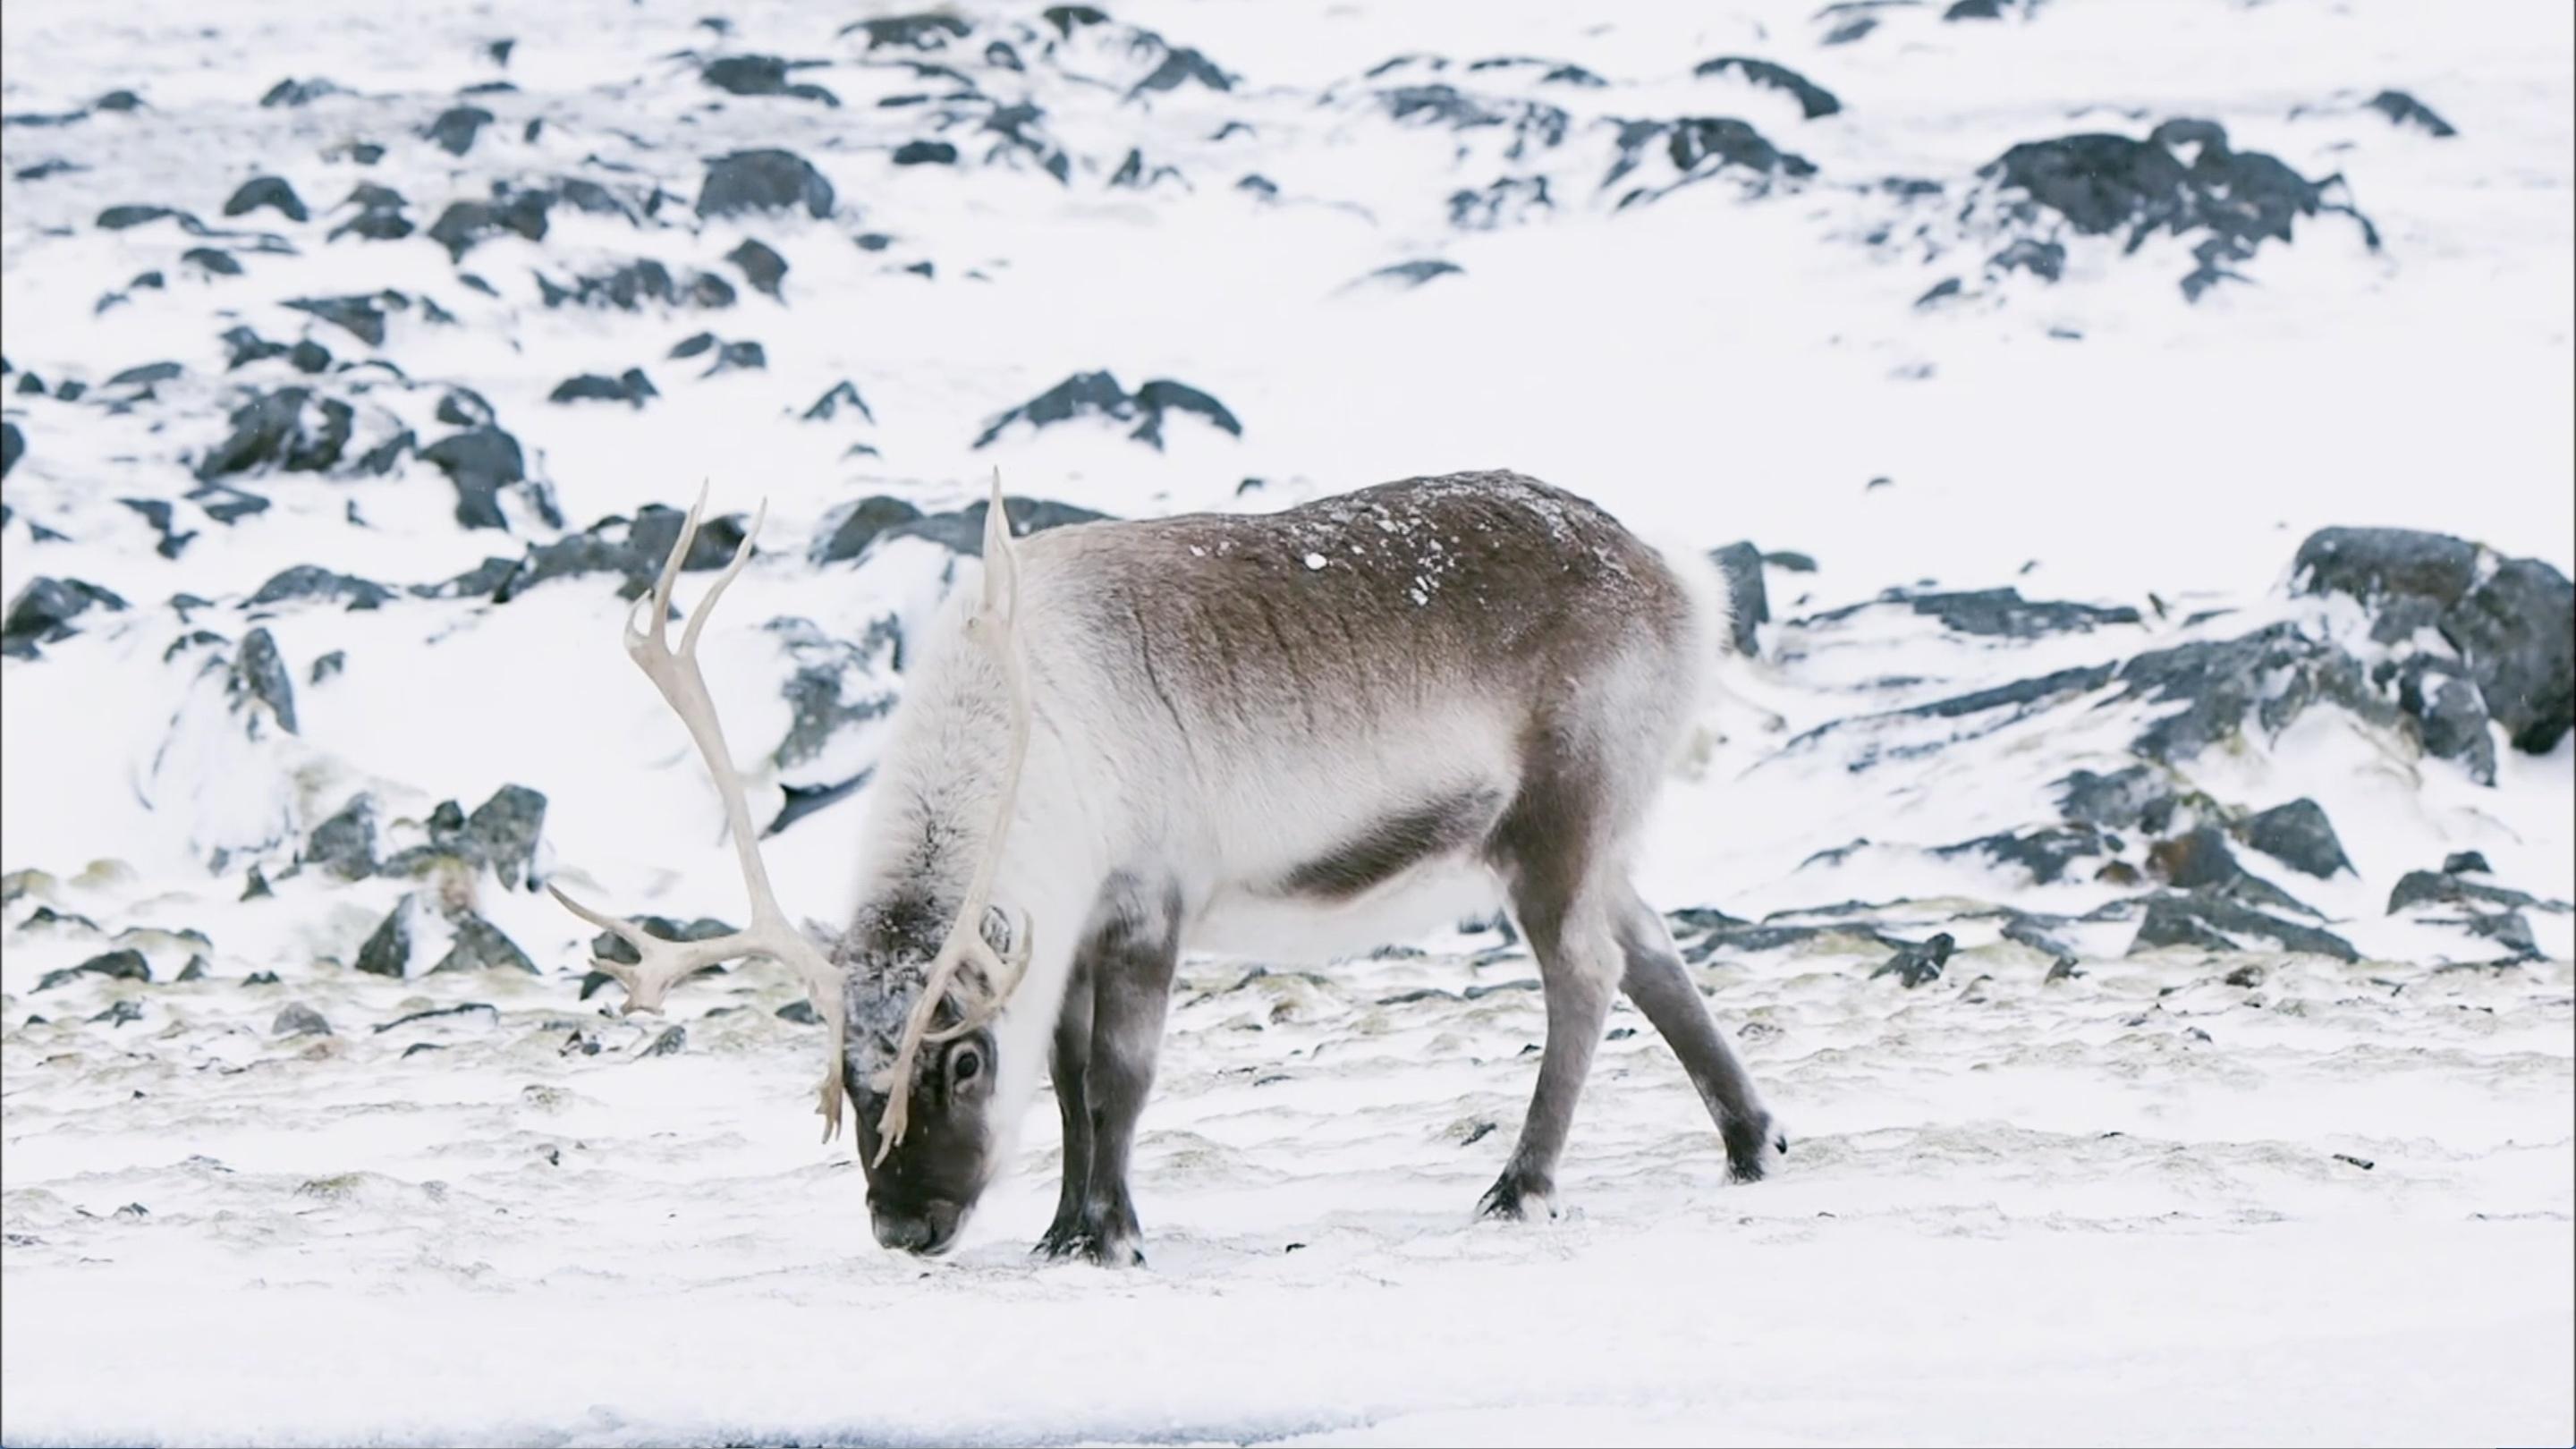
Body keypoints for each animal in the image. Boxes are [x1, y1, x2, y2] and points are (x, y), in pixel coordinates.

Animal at [552, 469, 1784, 1265]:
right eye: (844, 1075)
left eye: (961, 1062)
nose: (905, 1226)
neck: (1026, 739)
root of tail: (1681, 578)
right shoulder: (1068, 933)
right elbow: (1067, 1080)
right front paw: (1060, 1228)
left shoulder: (1152, 897)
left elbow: (1120, 1077)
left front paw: (1111, 1233)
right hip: (1602, 835)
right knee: (1652, 948)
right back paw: (1752, 1143)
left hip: (1558, 819)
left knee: (1585, 972)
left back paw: (1522, 1186)